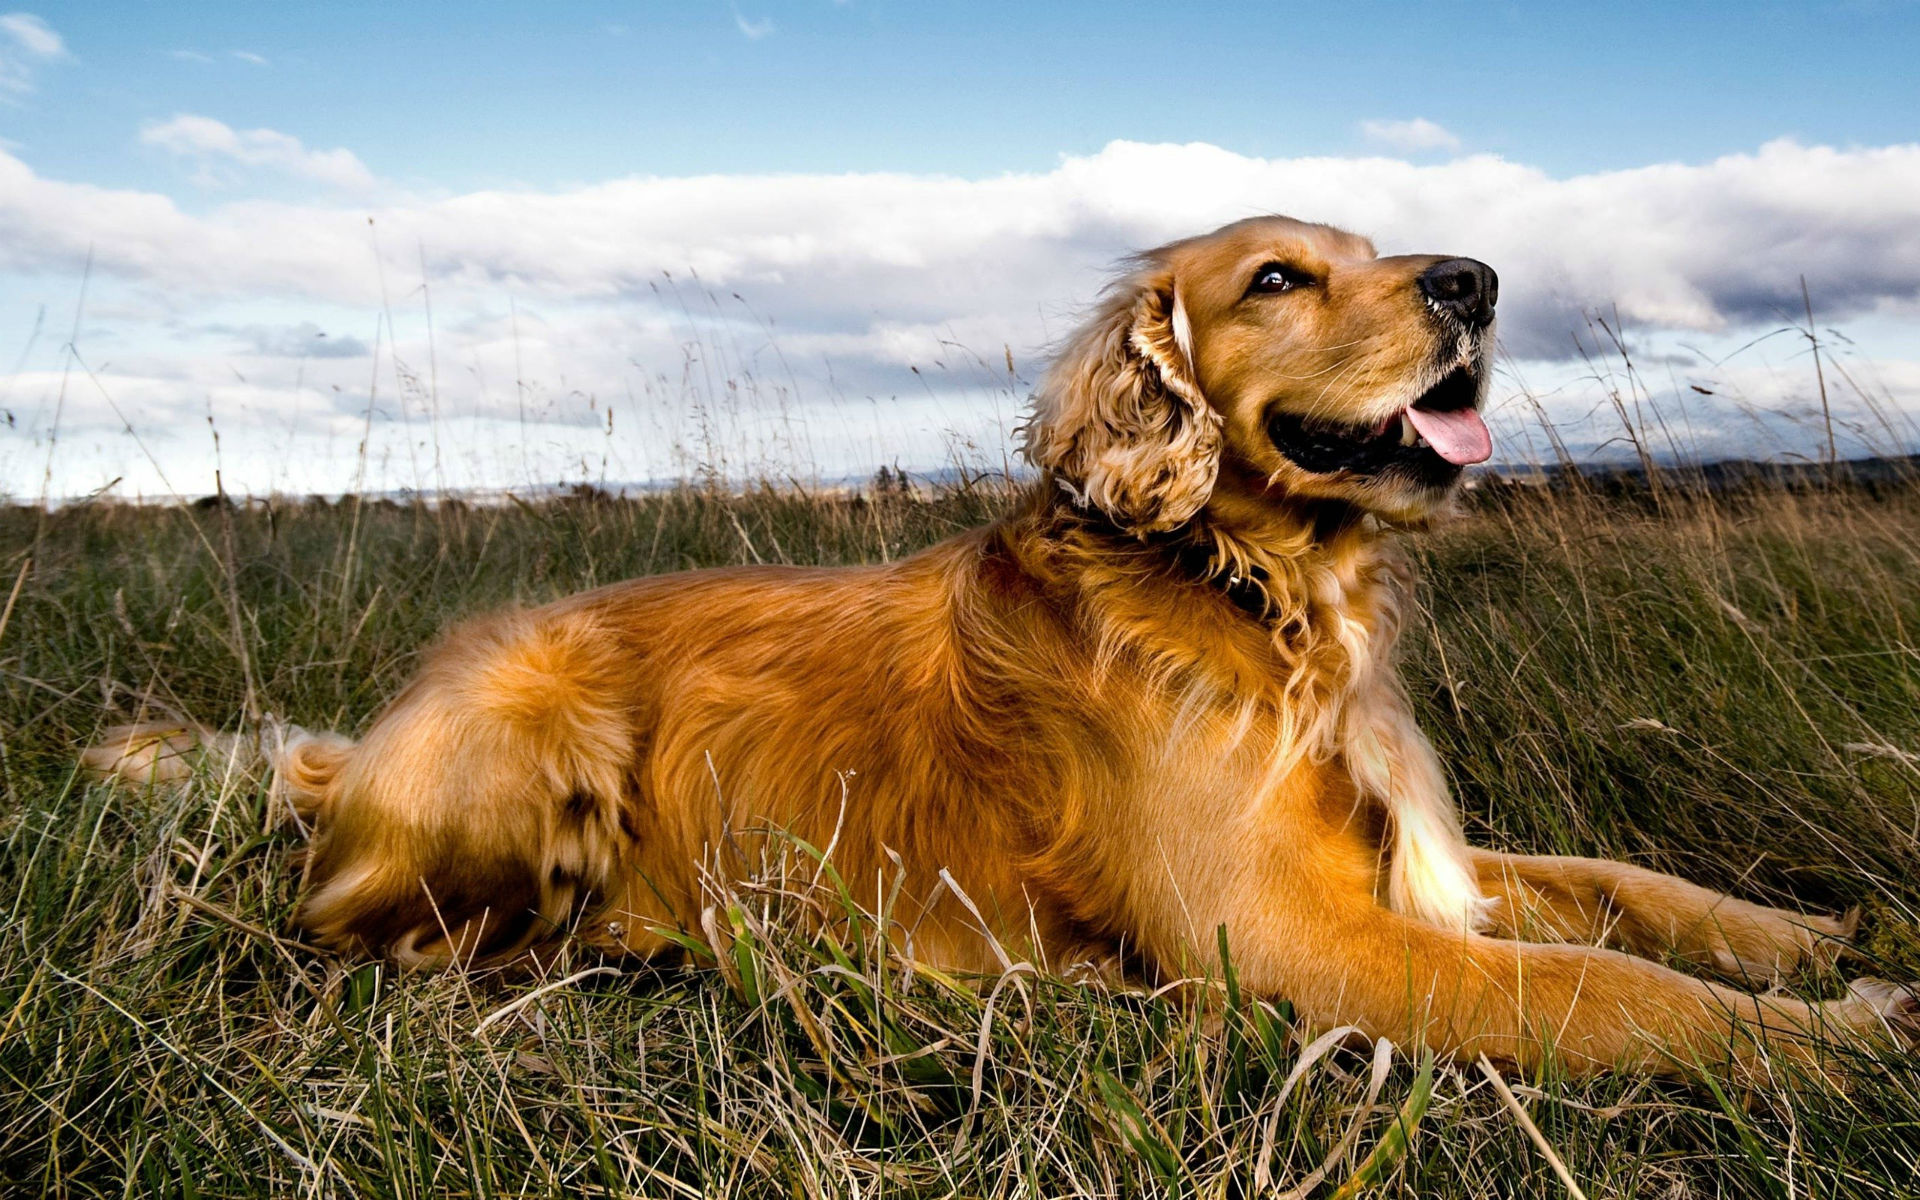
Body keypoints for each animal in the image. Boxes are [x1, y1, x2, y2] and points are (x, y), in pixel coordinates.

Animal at [93, 217, 1920, 1075]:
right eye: (1276, 276)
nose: (1476, 280)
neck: (1262, 595)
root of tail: (364, 746)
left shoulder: (1409, 865)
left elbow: (1630, 893)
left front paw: (1810, 934)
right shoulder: (1296, 940)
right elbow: (1617, 992)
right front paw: (1841, 1047)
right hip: (539, 728)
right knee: (372, 940)